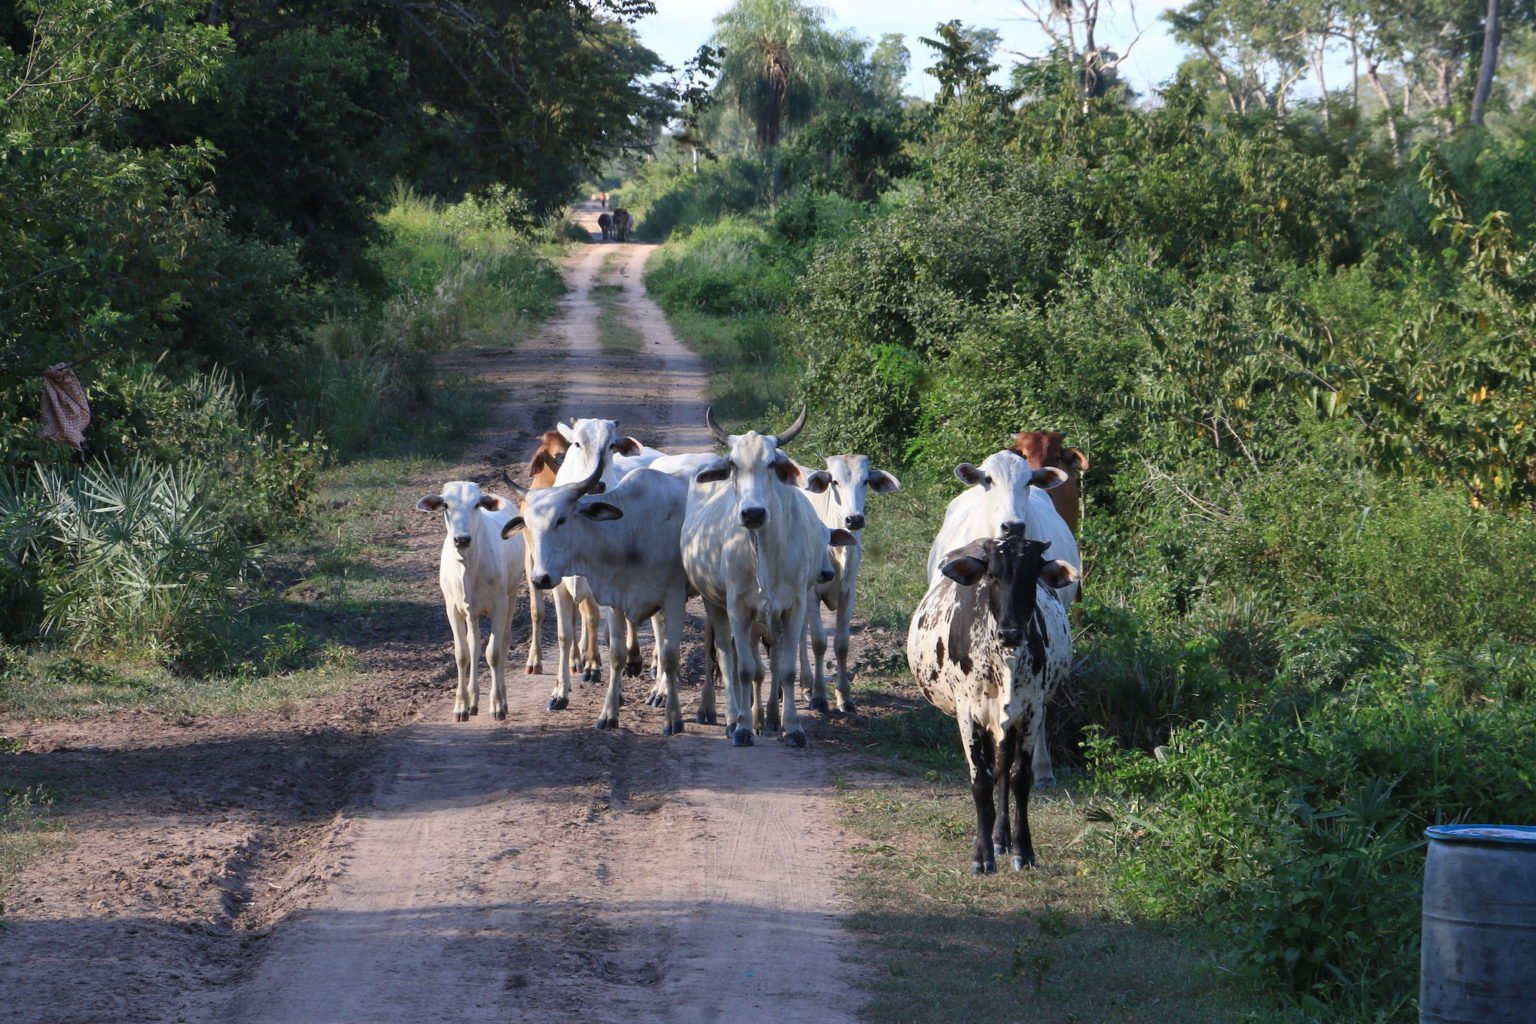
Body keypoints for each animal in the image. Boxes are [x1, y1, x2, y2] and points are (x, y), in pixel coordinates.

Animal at [417, 485, 525, 724]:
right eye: (446, 505)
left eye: (477, 504)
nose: (462, 539)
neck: (468, 565)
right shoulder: (453, 608)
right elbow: (463, 653)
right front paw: (461, 706)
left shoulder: (500, 605)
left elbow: (494, 653)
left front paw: (496, 706)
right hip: (472, 613)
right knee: (474, 645)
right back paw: (474, 701)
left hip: (512, 596)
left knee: (504, 642)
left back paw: (502, 700)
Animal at [681, 408, 860, 752]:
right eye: (733, 464)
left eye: (773, 464)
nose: (752, 514)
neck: (765, 550)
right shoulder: (739, 608)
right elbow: (745, 668)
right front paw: (744, 728)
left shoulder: (795, 606)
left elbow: (786, 669)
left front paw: (792, 727)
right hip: (714, 603)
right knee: (724, 653)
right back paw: (729, 716)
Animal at [903, 528, 1075, 872]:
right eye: (993, 575)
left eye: (1032, 576)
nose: (1011, 633)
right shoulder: (968, 714)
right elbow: (980, 781)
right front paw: (982, 855)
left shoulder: (1031, 711)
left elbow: (1019, 778)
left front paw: (1023, 849)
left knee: (1003, 770)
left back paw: (1001, 836)